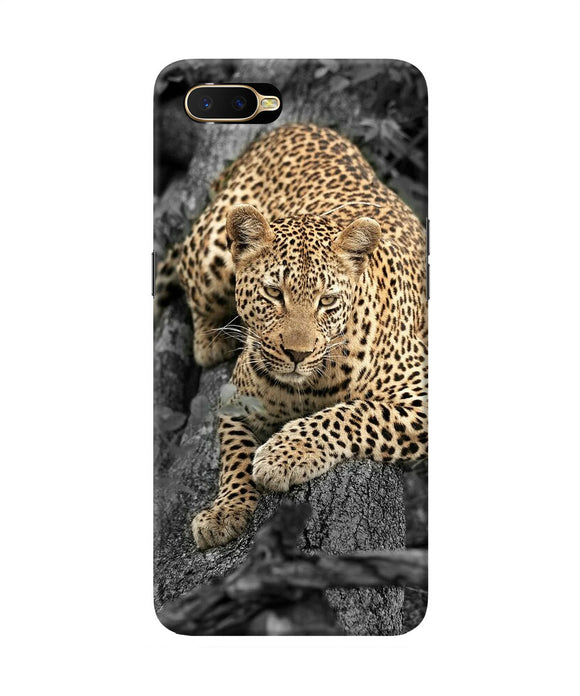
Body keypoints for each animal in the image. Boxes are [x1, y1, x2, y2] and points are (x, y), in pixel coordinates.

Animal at [156, 123, 428, 550]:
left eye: (326, 300)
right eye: (273, 293)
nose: (297, 354)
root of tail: (294, 126)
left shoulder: (421, 396)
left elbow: (354, 413)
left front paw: (283, 455)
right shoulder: (235, 400)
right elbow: (234, 455)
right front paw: (225, 511)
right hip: (211, 252)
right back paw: (211, 340)